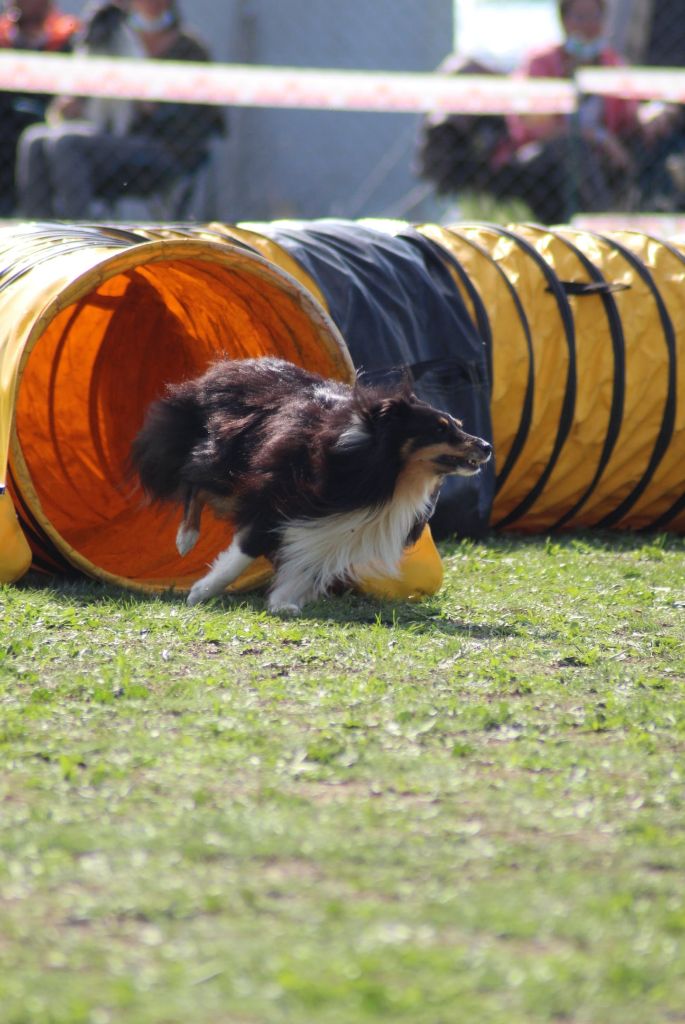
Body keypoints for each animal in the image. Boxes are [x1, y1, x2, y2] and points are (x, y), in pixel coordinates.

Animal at [127, 358, 491, 610]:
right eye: (440, 429)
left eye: (458, 424)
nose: (487, 446)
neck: (383, 468)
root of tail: (231, 367)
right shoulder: (278, 495)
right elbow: (247, 548)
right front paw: (202, 591)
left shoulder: (341, 523)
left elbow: (310, 563)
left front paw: (283, 602)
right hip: (228, 464)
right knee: (193, 480)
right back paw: (186, 538)